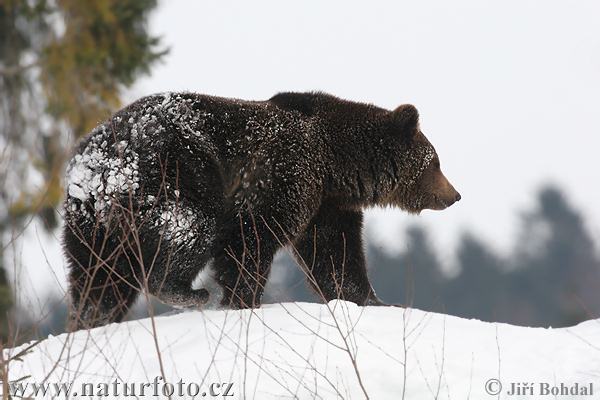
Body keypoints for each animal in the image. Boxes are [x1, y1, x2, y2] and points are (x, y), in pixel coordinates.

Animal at [62, 91, 460, 328]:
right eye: (436, 162)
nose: (454, 195)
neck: (334, 165)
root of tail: (93, 165)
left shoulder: (325, 206)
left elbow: (335, 256)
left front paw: (371, 300)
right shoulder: (283, 176)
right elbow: (250, 240)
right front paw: (243, 300)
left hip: (90, 225)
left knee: (99, 279)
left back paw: (91, 320)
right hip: (174, 173)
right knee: (191, 228)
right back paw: (187, 291)